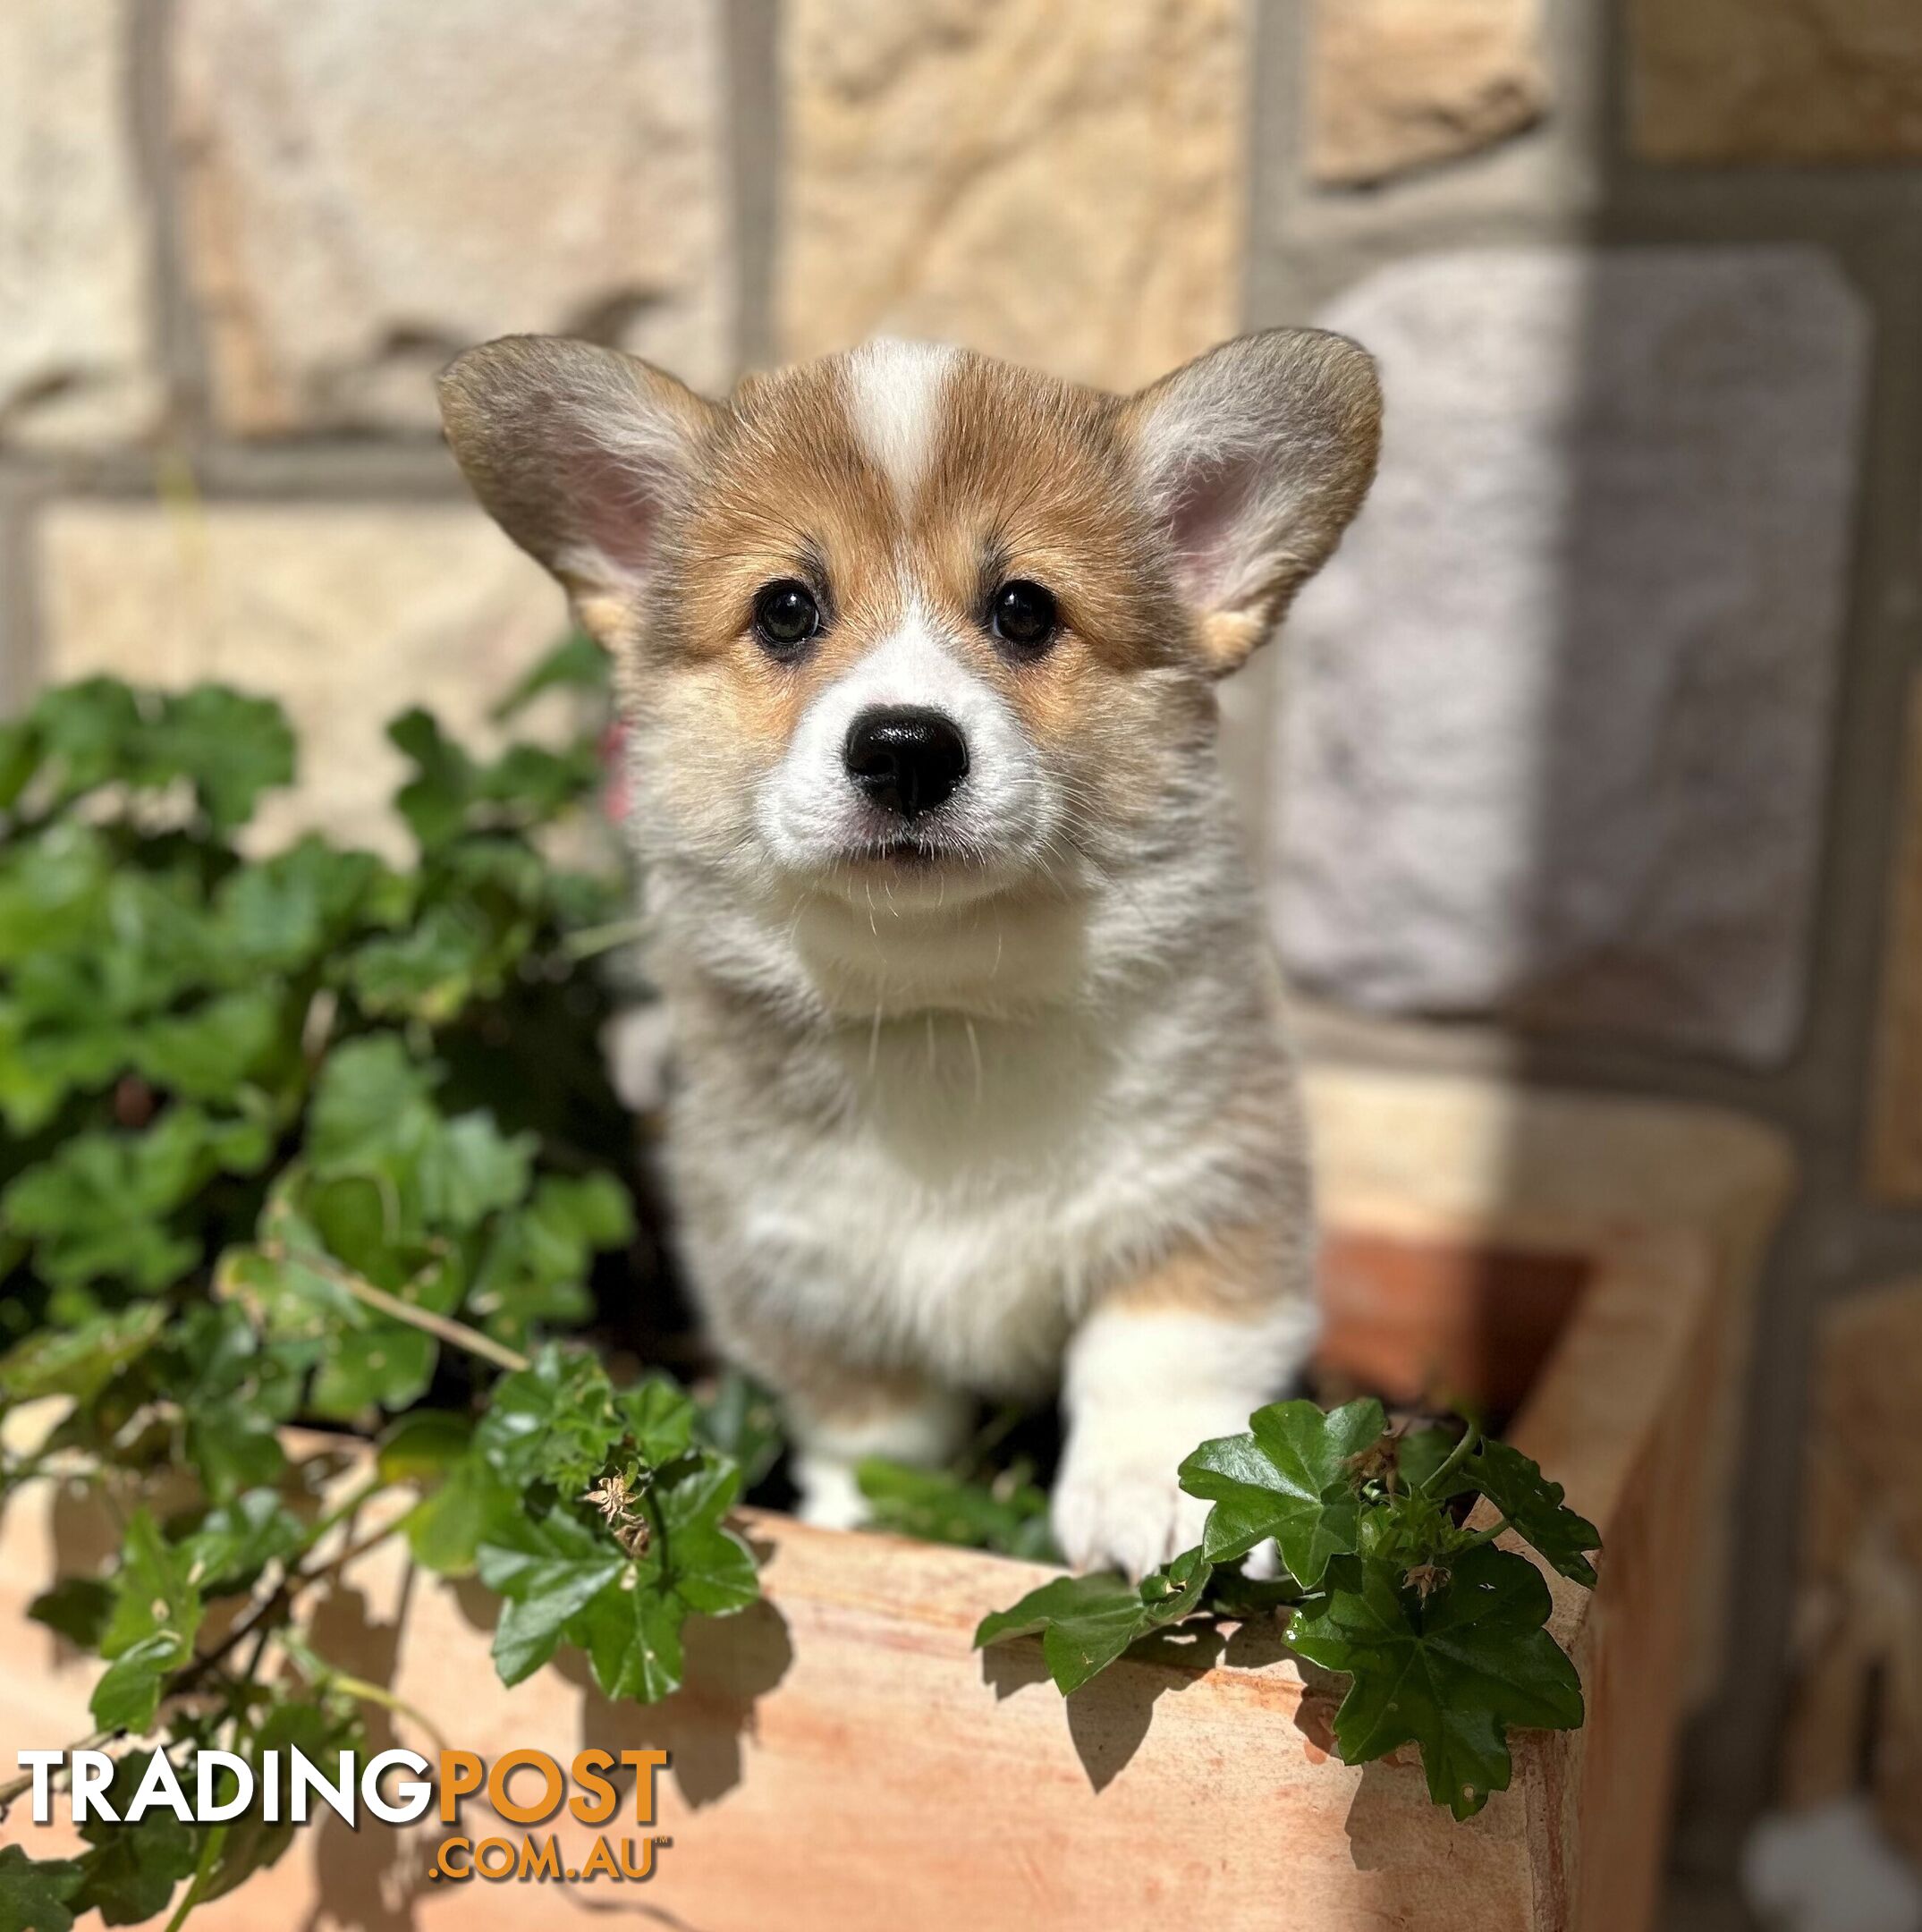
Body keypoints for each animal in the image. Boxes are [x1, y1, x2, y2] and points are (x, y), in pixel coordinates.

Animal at [442, 324, 1383, 1576]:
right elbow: (875, 1427)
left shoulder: (1212, 1179)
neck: (947, 1007)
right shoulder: (799, 1266)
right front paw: (867, 1526)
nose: (902, 747)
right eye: (785, 609)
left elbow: (1161, 1347)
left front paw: (1154, 1493)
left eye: (1025, 609)